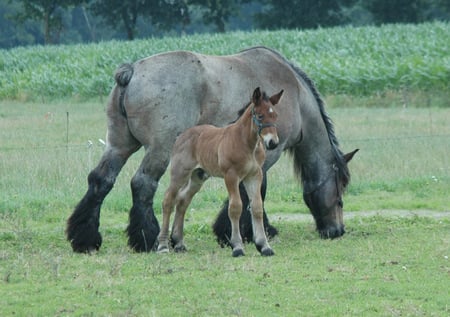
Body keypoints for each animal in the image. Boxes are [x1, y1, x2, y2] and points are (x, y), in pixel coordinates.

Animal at [158, 87, 284, 256]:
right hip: (179, 173)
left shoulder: (254, 175)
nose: (273, 143)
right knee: (168, 200)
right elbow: (235, 207)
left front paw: (264, 246)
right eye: (260, 116)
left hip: (198, 176)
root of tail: (181, 136)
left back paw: (179, 243)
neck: (246, 143)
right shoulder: (231, 175)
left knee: (183, 200)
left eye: (275, 115)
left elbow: (257, 207)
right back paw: (163, 246)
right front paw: (237, 247)